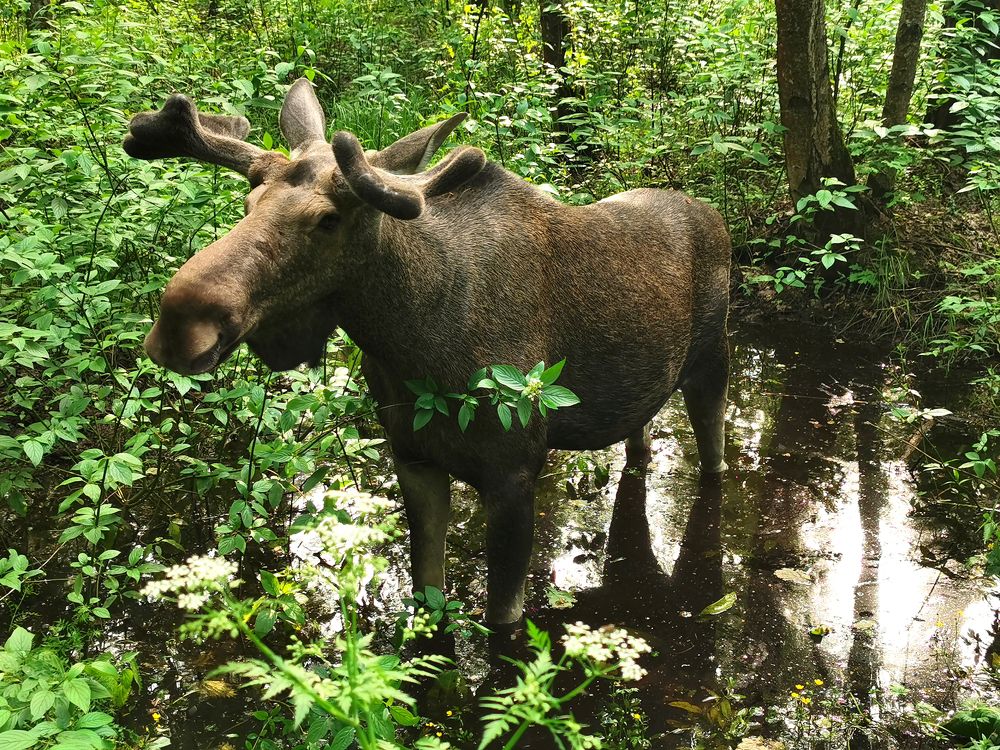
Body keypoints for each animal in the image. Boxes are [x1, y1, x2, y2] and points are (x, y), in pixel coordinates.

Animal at [125, 78, 731, 626]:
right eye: (248, 203)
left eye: (328, 219)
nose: (180, 325)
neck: (413, 346)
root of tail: (715, 216)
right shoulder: (413, 459)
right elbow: (428, 594)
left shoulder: (514, 472)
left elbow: (501, 618)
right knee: (640, 437)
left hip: (713, 361)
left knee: (713, 455)